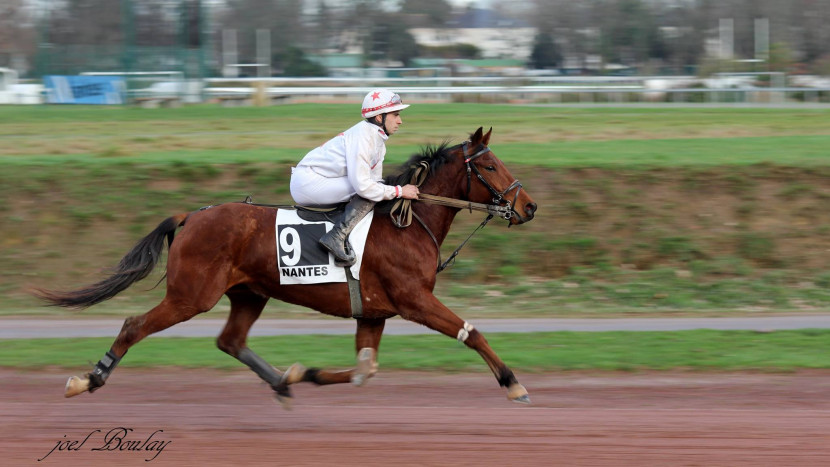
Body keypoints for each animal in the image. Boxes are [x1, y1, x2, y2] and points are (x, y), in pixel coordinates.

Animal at [35, 126, 540, 408]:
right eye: (489, 166)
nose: (529, 206)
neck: (409, 225)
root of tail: (193, 215)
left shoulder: (373, 312)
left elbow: (363, 370)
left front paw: (304, 373)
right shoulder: (414, 300)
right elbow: (471, 332)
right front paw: (513, 383)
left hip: (248, 293)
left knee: (230, 340)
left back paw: (281, 380)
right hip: (190, 295)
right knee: (134, 325)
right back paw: (88, 379)